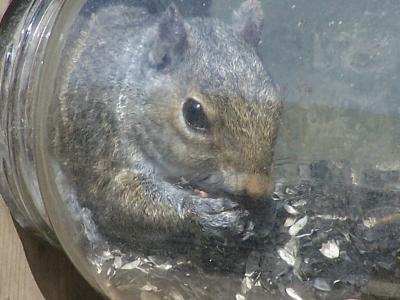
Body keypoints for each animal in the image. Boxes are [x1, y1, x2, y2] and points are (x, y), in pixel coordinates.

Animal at [53, 0, 282, 253]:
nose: (260, 187)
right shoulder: (109, 149)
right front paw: (203, 212)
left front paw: (263, 211)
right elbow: (119, 199)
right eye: (193, 113)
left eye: (278, 100)